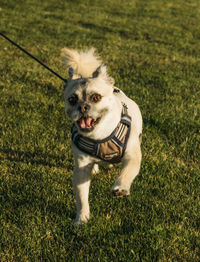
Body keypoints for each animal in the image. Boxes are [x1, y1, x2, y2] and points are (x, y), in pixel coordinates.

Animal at [61, 48, 142, 224]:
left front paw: (120, 188)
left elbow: (127, 172)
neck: (99, 135)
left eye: (96, 97)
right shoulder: (81, 168)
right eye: (72, 100)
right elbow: (82, 196)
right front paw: (82, 218)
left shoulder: (132, 157)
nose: (83, 106)